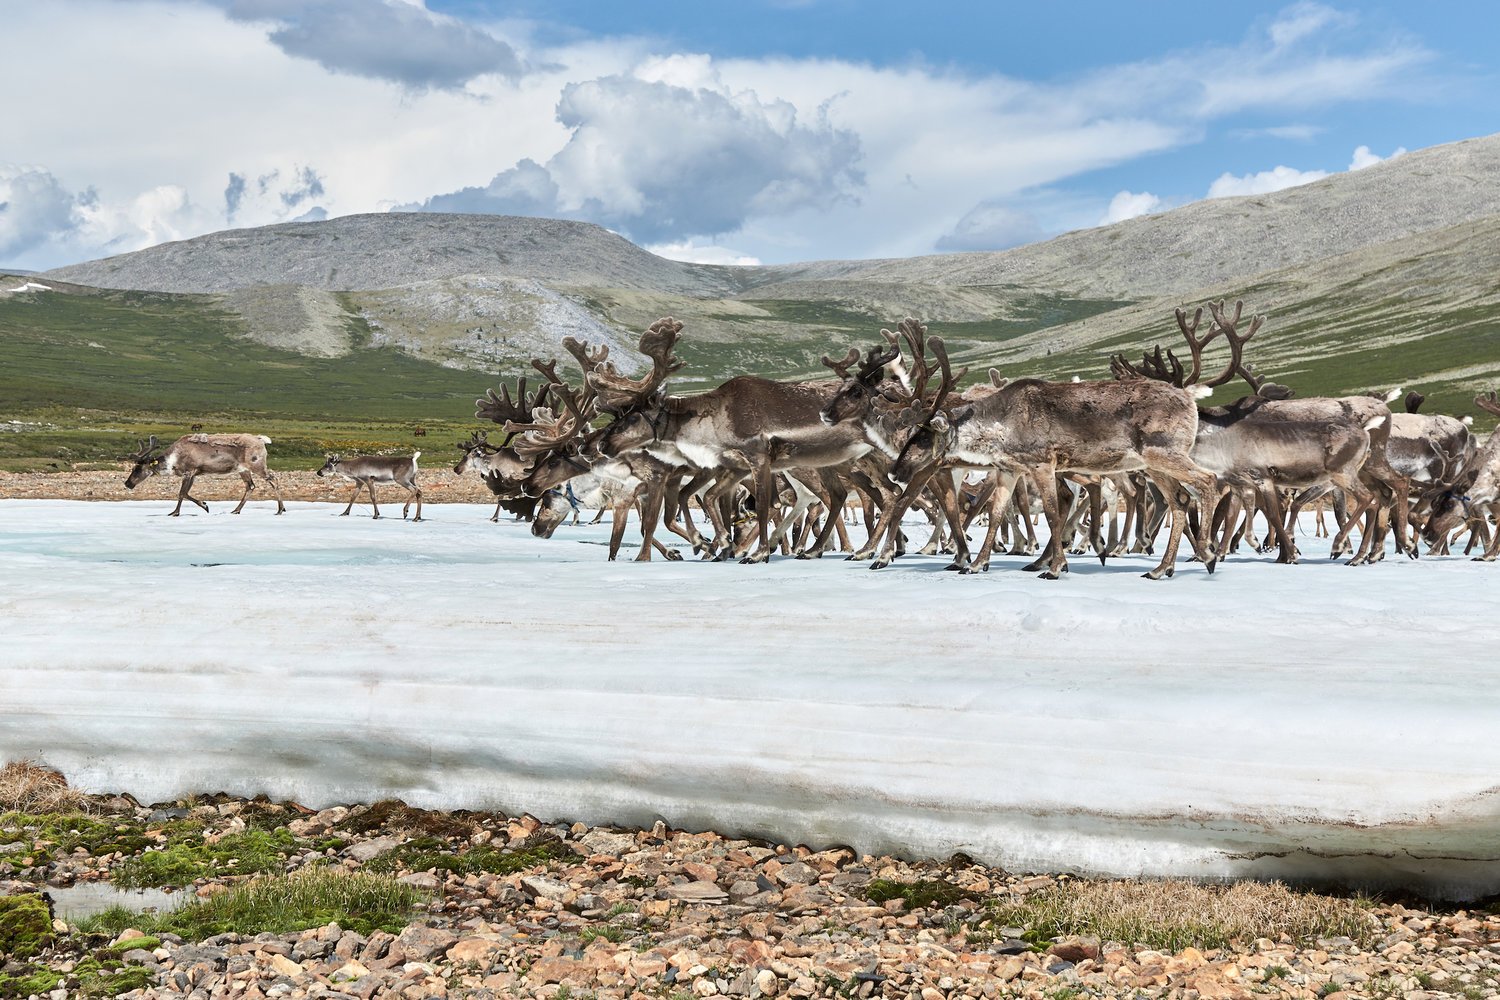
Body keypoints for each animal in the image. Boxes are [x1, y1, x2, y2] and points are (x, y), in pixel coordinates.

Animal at [124, 433, 286, 515]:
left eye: (138, 468)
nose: (127, 483)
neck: (173, 460)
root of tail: (262, 440)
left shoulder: (189, 471)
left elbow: (181, 493)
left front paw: (175, 512)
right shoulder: (194, 474)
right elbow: (186, 493)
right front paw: (205, 505)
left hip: (257, 465)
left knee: (274, 480)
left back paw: (280, 510)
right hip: (243, 470)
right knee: (250, 486)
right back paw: (236, 510)